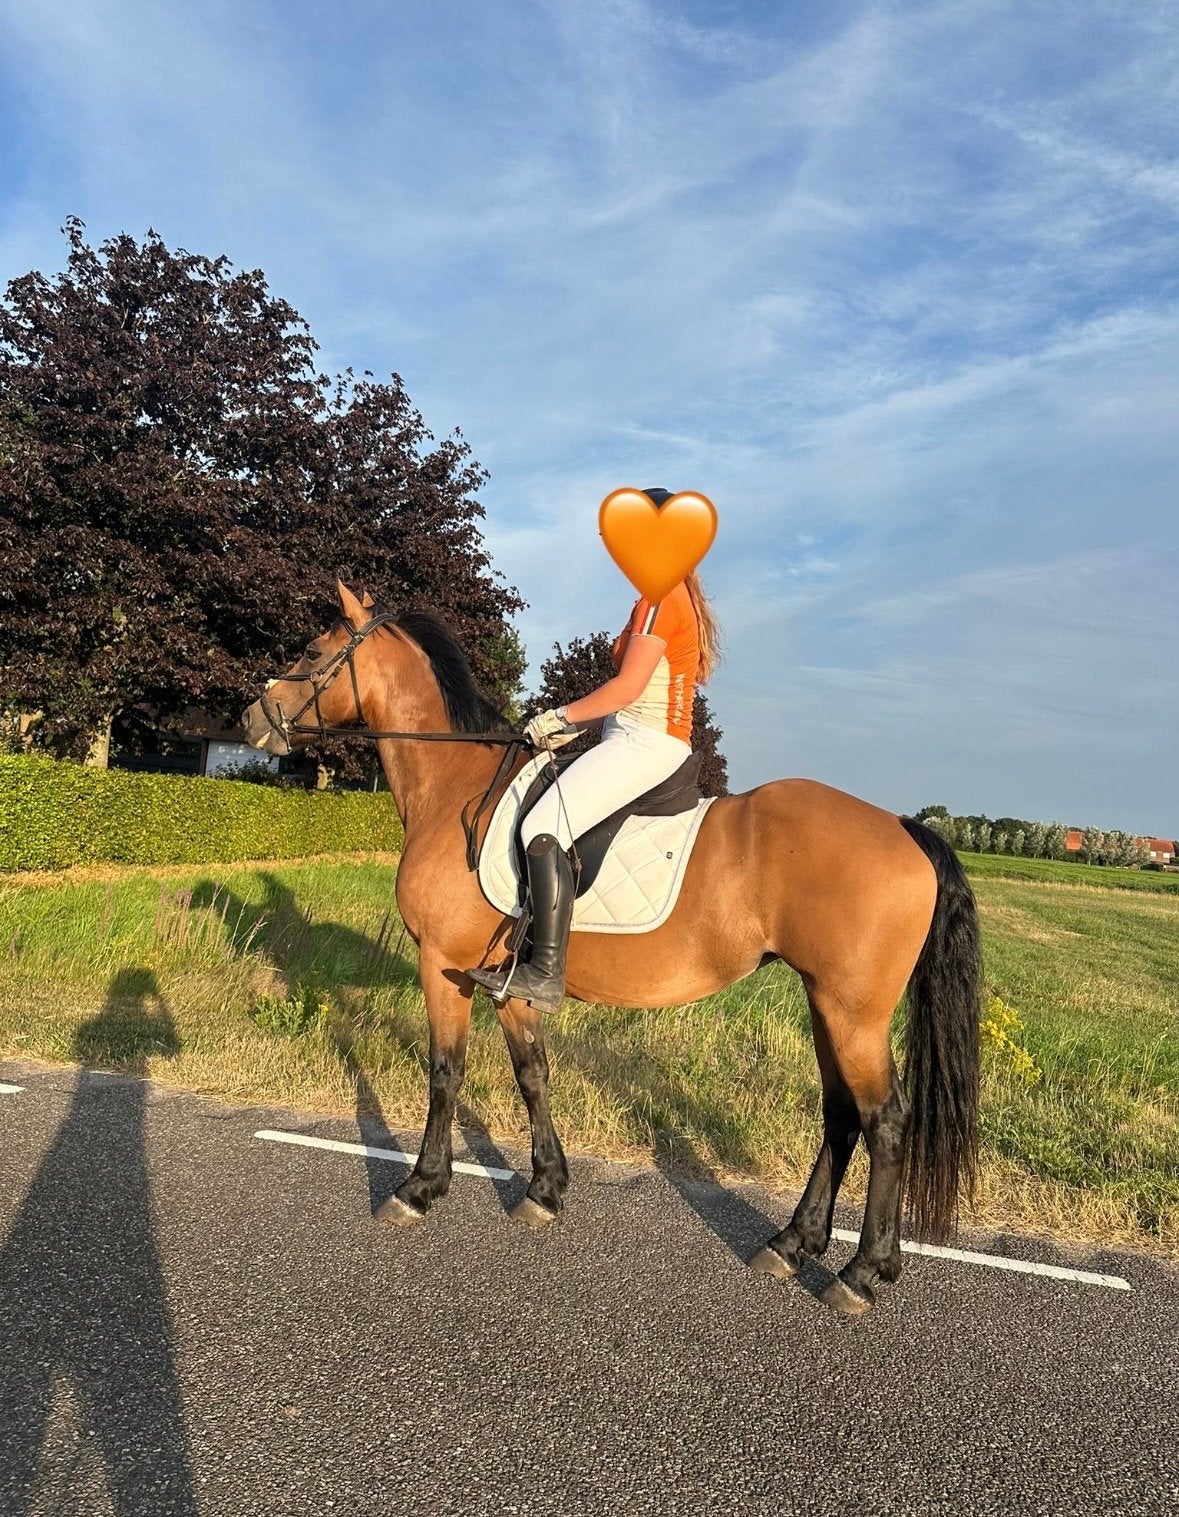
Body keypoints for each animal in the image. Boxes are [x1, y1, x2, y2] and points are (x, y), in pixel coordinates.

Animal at [241, 581, 981, 1316]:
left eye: (313, 651)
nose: (253, 716)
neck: (456, 788)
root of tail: (904, 828)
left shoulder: (443, 969)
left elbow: (444, 1073)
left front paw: (419, 1188)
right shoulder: (508, 982)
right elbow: (532, 1073)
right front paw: (544, 1190)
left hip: (853, 1013)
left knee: (884, 1120)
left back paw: (862, 1272)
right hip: (826, 1001)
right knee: (840, 1115)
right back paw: (791, 1243)